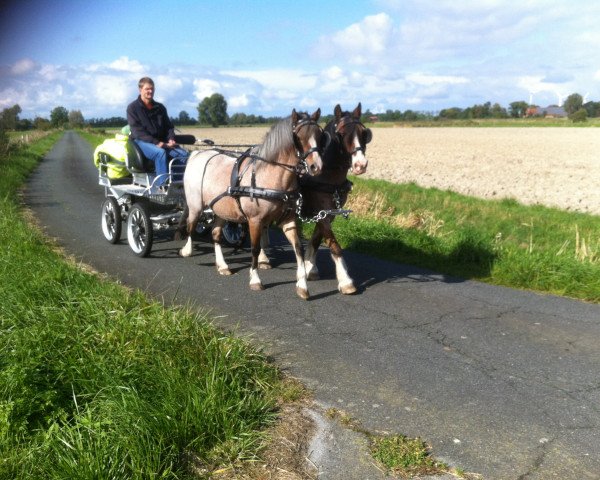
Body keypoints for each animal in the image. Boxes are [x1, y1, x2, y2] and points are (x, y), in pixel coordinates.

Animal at [179, 108, 324, 300]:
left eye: (320, 135)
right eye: (298, 137)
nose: (317, 167)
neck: (271, 176)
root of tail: (197, 154)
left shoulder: (289, 220)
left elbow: (298, 248)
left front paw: (302, 285)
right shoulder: (255, 220)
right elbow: (255, 248)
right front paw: (255, 279)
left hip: (221, 210)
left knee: (216, 234)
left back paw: (222, 265)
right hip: (196, 206)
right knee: (190, 226)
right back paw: (186, 250)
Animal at [296, 103, 370, 294]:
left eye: (364, 133)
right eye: (341, 134)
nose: (360, 165)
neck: (326, 177)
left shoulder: (328, 213)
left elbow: (316, 239)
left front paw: (310, 268)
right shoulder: (321, 212)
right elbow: (334, 245)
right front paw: (345, 280)